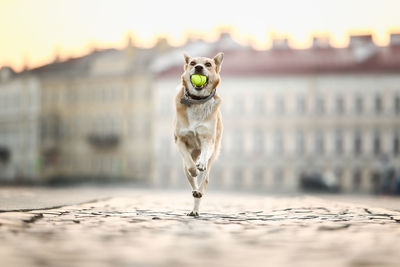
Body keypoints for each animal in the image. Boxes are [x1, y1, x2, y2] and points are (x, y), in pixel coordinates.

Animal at [173, 52, 223, 218]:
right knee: (191, 179)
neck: (197, 102)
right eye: (193, 63)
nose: (199, 67)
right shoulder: (180, 140)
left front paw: (200, 164)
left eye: (208, 64)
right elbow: (190, 165)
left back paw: (197, 200)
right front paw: (194, 169)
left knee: (205, 180)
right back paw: (194, 195)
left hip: (213, 157)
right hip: (184, 164)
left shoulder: (208, 139)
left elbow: (205, 153)